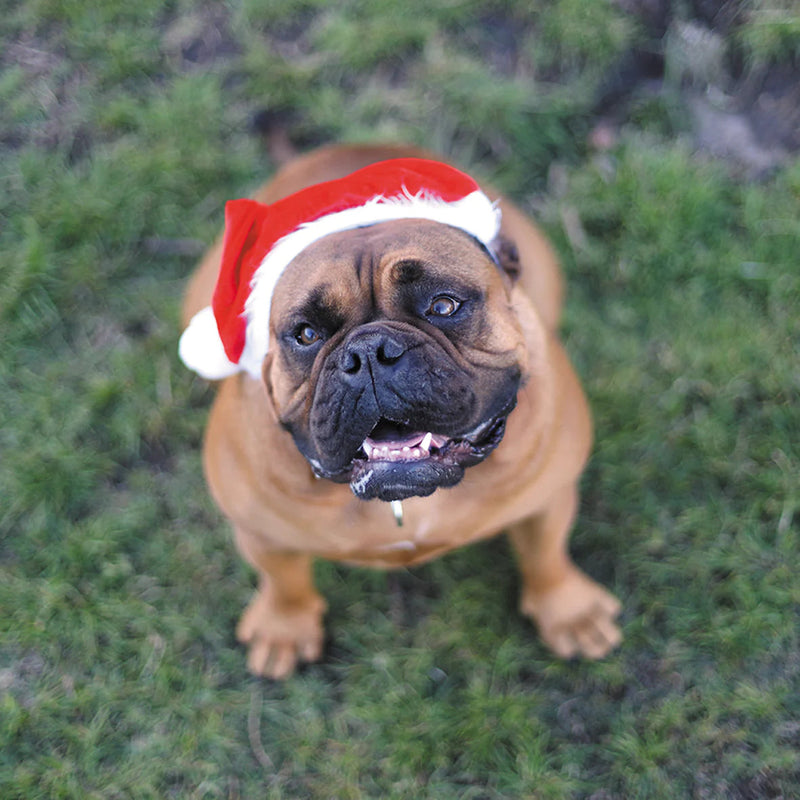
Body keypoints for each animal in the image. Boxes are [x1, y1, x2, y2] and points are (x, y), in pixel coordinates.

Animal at [183, 142, 624, 676]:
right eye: (306, 333)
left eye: (444, 305)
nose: (369, 353)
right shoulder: (262, 533)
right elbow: (283, 579)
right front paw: (283, 626)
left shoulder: (548, 498)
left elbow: (547, 554)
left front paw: (570, 612)